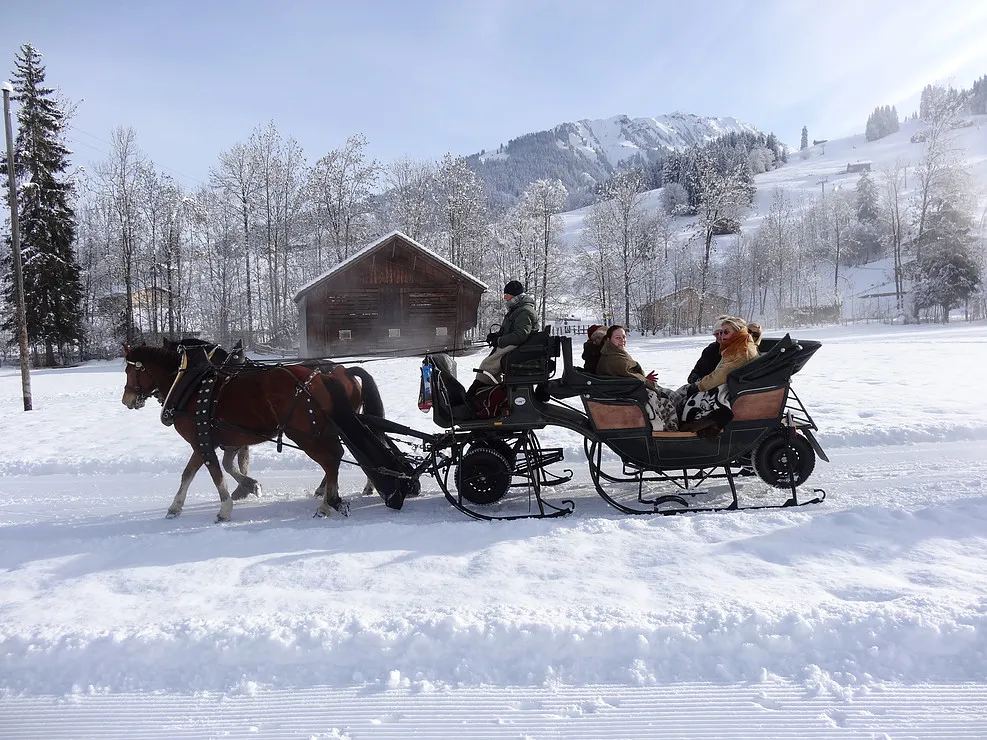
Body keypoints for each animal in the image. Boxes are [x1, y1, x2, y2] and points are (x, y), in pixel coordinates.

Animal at [120, 342, 382, 520]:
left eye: (130, 371)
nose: (127, 400)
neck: (193, 385)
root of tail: (339, 373)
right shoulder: (214, 440)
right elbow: (193, 473)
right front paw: (176, 506)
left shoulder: (203, 440)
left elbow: (217, 473)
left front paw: (226, 508)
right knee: (344, 455)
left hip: (307, 434)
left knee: (332, 459)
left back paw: (328, 502)